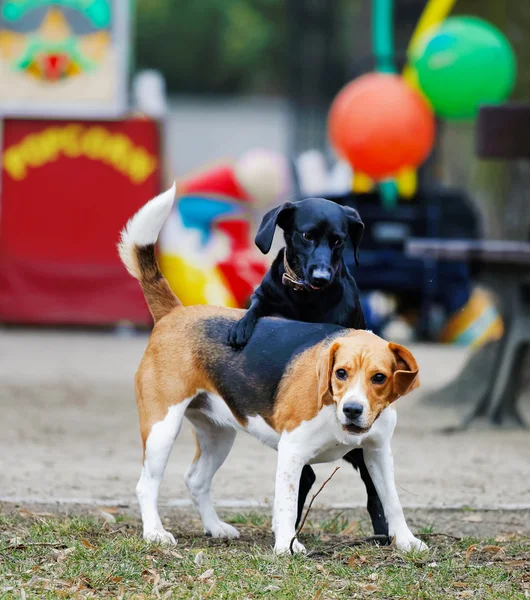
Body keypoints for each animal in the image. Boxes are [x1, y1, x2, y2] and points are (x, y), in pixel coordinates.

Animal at [227, 198, 388, 540]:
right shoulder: (268, 296)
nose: (322, 277)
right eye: (307, 235)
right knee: (308, 476)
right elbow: (256, 305)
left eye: (339, 241)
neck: (306, 301)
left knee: (372, 489)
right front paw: (241, 327)